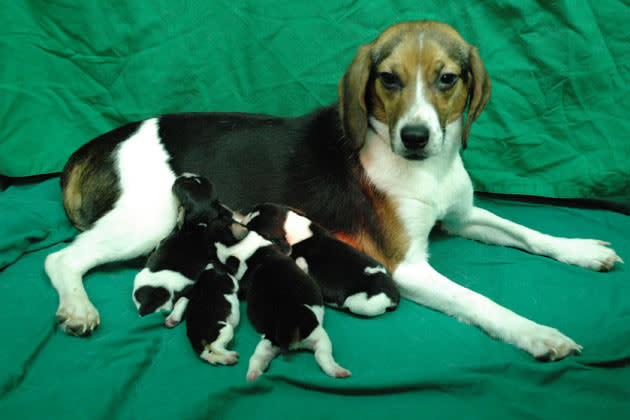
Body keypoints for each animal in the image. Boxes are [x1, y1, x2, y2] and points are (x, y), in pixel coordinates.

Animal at [212, 220, 350, 380]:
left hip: (268, 342)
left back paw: (253, 375)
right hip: (318, 335)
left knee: (257, 358)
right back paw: (339, 371)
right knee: (323, 356)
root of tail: (285, 325)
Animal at [244, 203, 402, 316]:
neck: (290, 225)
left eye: (252, 227)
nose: (242, 219)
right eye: (254, 209)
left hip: (361, 303)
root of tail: (393, 297)